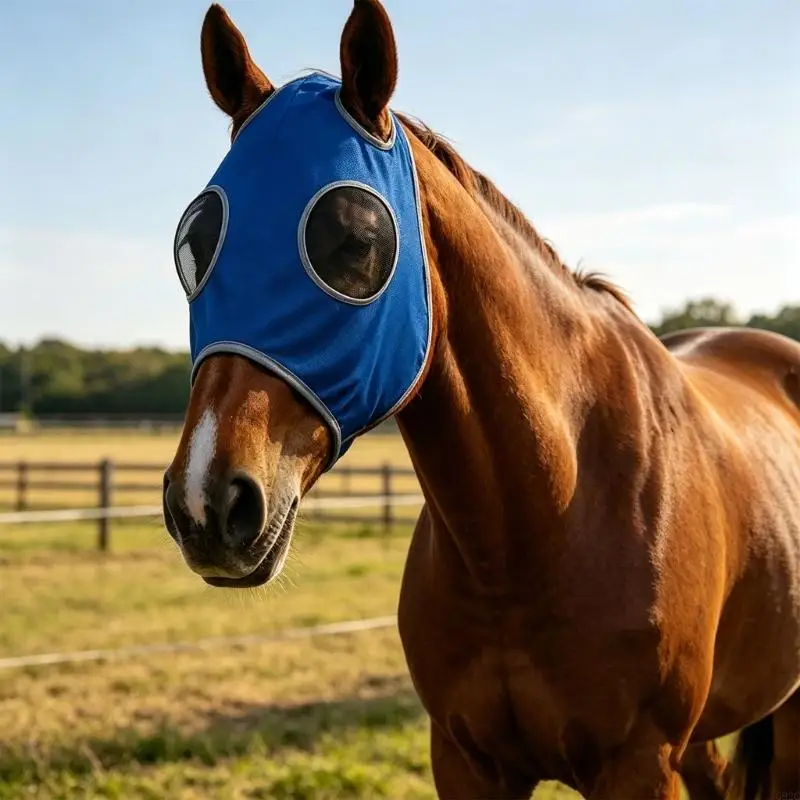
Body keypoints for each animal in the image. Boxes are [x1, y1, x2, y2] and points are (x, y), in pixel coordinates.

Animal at [162, 2, 800, 797]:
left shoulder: (640, 763)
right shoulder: (467, 760)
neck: (544, 519)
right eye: (194, 242)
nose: (207, 502)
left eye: (355, 240)